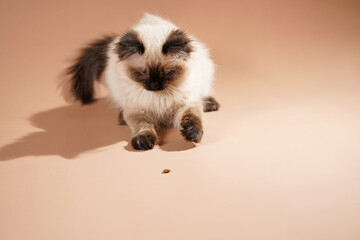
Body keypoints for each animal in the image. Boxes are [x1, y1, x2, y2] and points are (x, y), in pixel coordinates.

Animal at [67, 13, 219, 150]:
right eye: (143, 73)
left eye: (167, 73)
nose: (154, 85)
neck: (159, 98)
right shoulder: (138, 110)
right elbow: (143, 125)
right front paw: (144, 141)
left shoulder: (185, 104)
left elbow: (193, 118)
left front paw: (192, 133)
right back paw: (122, 119)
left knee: (203, 97)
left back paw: (211, 104)